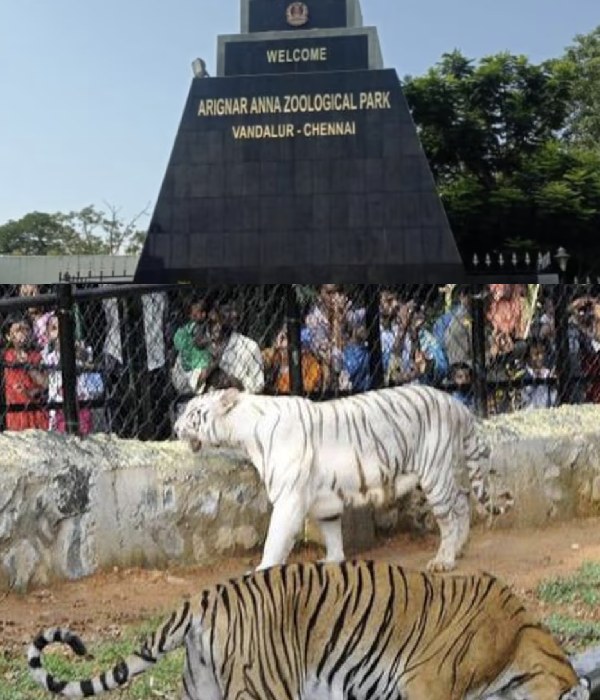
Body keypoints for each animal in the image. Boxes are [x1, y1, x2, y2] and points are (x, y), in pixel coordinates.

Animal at [174, 385, 512, 573]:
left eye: (192, 412)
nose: (175, 427)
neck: (243, 432)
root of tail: (457, 405)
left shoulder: (288, 498)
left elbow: (275, 539)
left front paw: (262, 569)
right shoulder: (322, 498)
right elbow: (332, 530)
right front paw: (333, 560)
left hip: (435, 473)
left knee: (451, 514)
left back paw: (444, 560)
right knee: (464, 501)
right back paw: (459, 549)